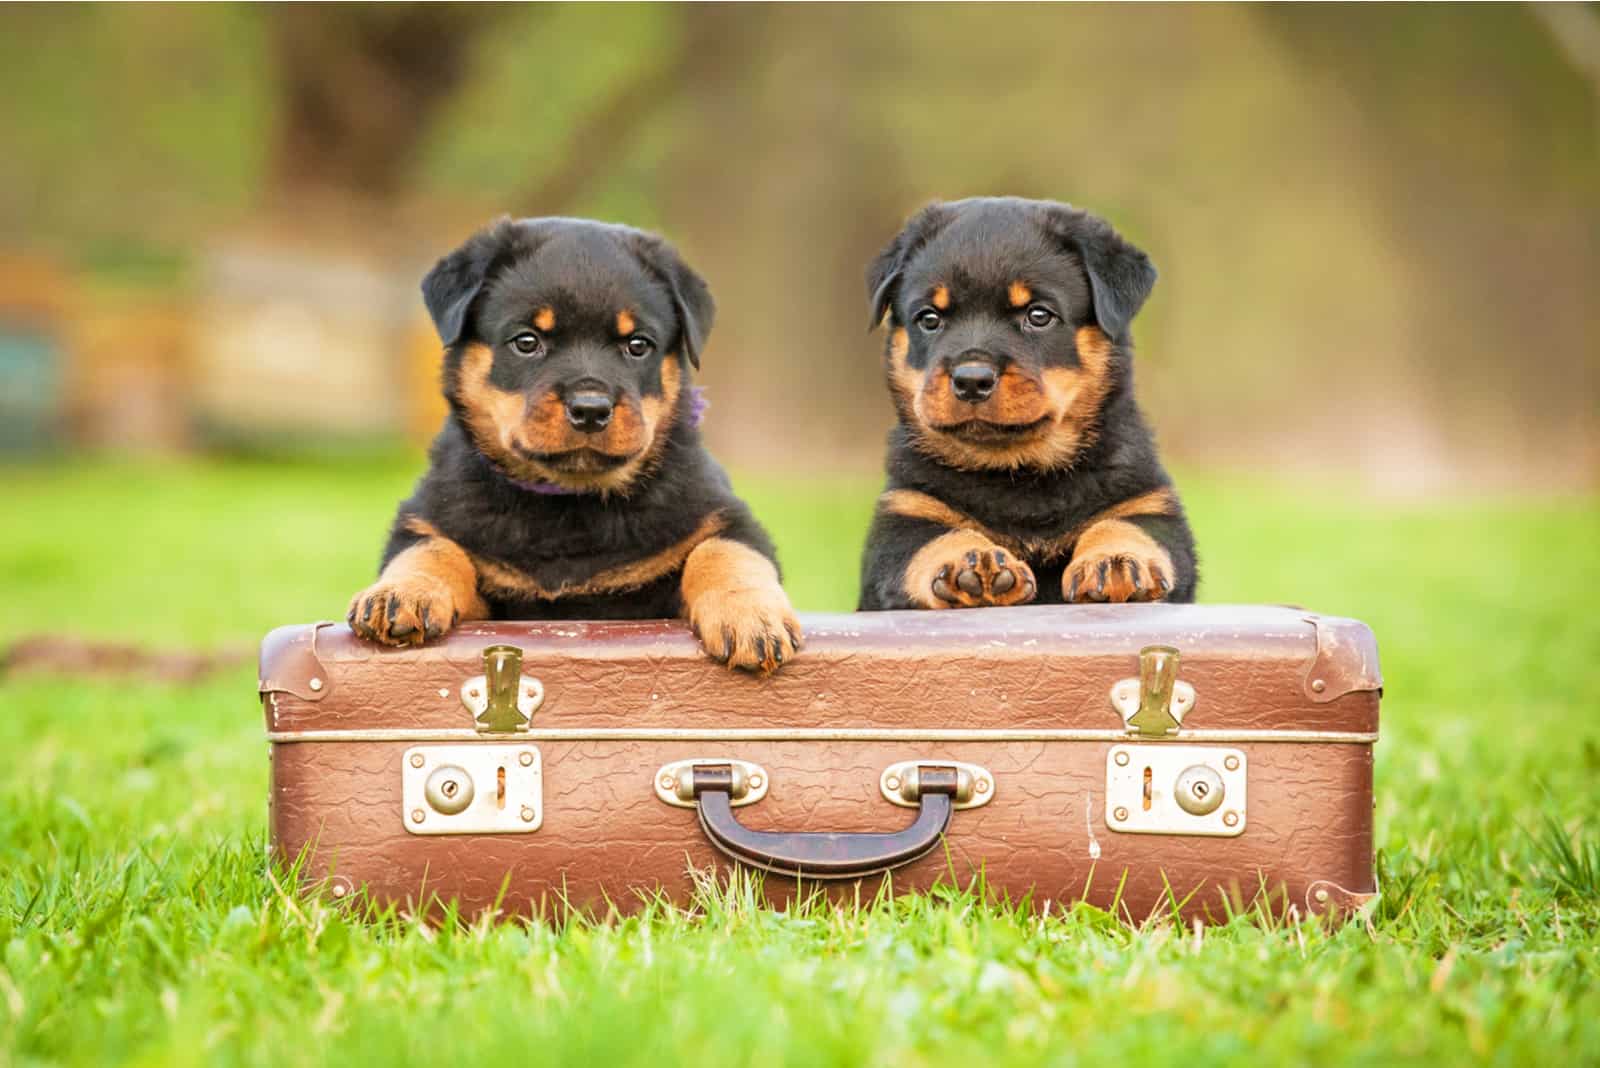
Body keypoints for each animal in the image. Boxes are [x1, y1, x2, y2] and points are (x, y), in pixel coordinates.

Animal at [348, 214, 800, 668]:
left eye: (638, 345)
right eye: (527, 341)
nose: (590, 409)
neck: (568, 508)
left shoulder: (724, 518)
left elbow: (725, 551)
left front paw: (751, 617)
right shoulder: (436, 527)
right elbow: (431, 547)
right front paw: (401, 594)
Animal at [857, 198, 1196, 607]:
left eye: (1038, 315)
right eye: (929, 318)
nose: (971, 379)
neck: (1018, 472)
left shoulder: (1149, 504)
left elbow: (1127, 527)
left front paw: (1116, 561)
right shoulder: (905, 511)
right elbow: (930, 541)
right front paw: (973, 562)